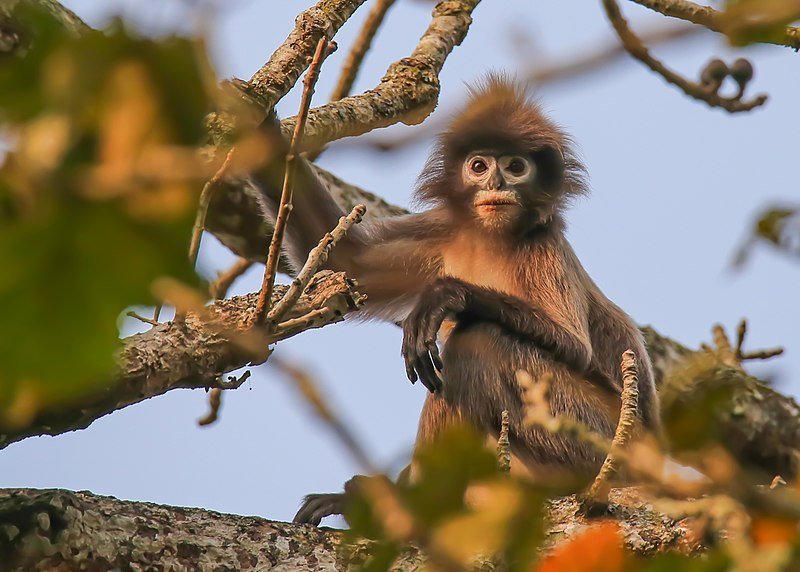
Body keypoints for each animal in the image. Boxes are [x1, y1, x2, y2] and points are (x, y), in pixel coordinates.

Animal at [255, 77, 656, 528]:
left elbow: (575, 346)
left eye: (516, 167)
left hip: (596, 436)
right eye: (479, 166)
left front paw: (448, 296)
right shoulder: (443, 231)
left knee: (477, 341)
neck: (491, 238)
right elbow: (345, 260)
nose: (496, 185)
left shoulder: (543, 245)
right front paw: (253, 120)